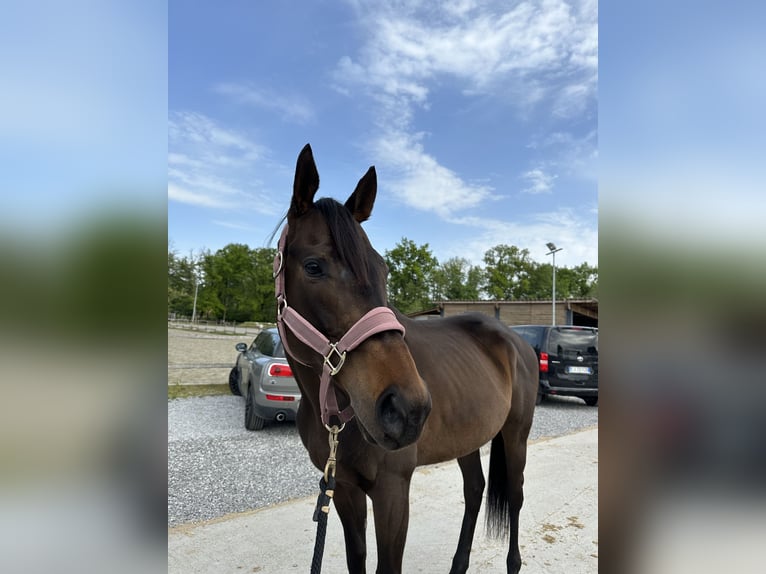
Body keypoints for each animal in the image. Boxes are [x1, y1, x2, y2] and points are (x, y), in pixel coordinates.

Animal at [274, 142, 540, 572]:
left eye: (383, 270)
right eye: (314, 266)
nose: (407, 409)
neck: (335, 417)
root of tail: (516, 342)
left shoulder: (392, 491)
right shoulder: (343, 489)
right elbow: (357, 558)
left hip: (516, 435)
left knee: (514, 497)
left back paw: (512, 563)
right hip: (468, 438)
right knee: (474, 489)